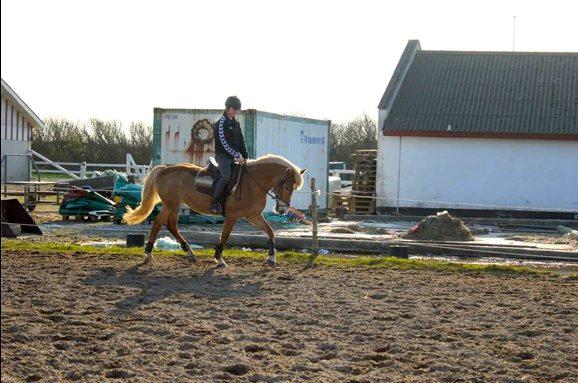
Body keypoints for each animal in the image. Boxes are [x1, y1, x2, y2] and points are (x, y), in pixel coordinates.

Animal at [121, 154, 304, 268]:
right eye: (286, 186)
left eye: (293, 188)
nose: (282, 210)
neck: (252, 183)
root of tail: (165, 169)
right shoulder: (232, 216)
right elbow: (225, 236)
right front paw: (219, 259)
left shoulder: (253, 215)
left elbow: (270, 232)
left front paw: (272, 258)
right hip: (171, 205)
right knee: (164, 225)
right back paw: (150, 255)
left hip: (170, 205)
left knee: (166, 225)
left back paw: (186, 252)